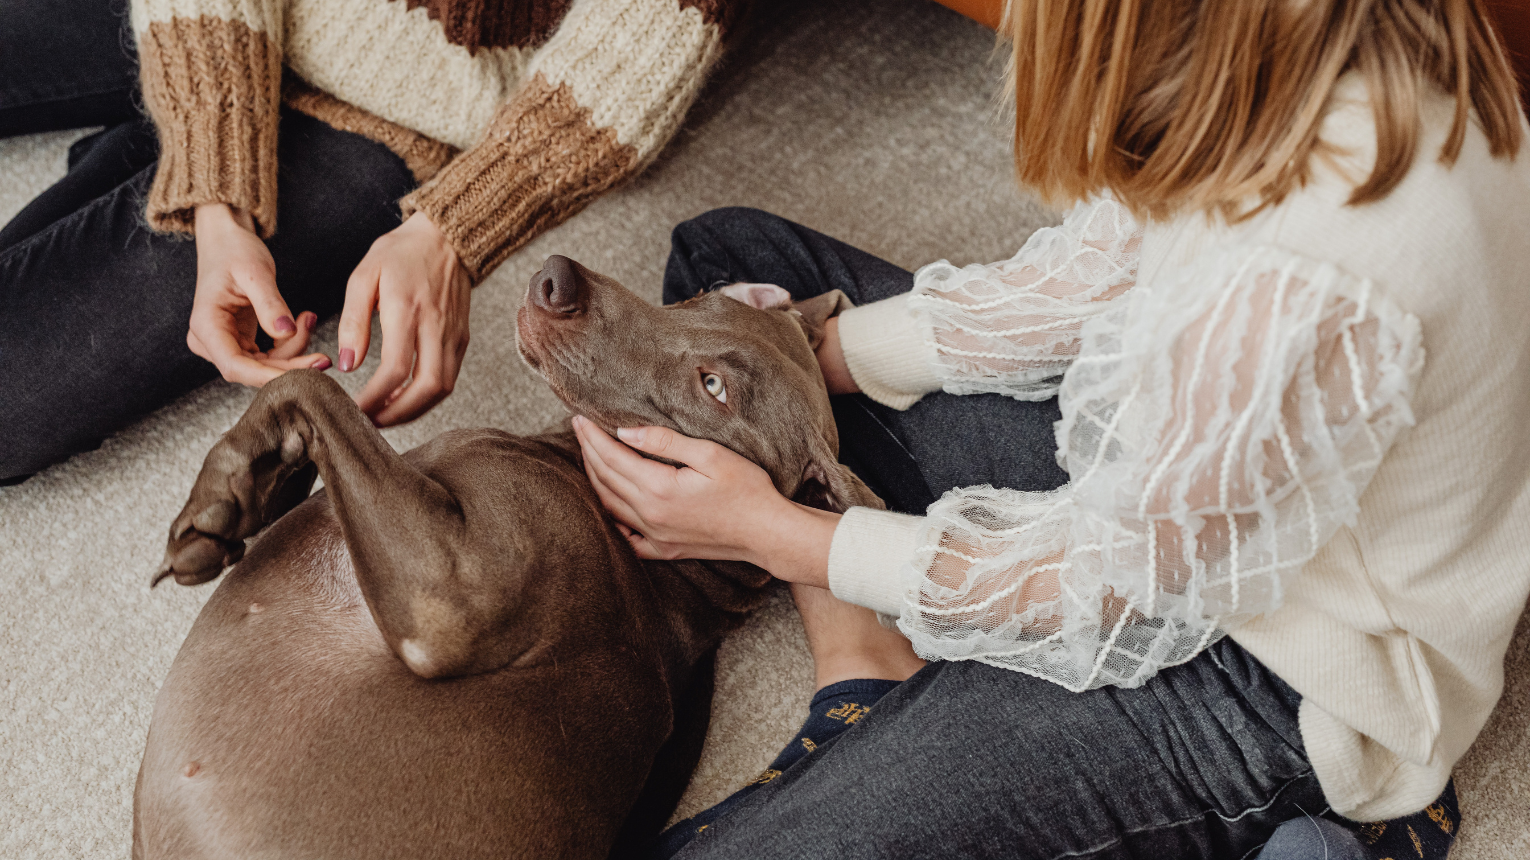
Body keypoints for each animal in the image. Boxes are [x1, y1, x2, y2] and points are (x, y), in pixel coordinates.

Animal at [137, 257, 881, 856]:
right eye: (695, 297)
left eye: (713, 387)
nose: (559, 277)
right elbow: (293, 391)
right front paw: (239, 490)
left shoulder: (443, 606)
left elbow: (313, 387)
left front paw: (228, 492)